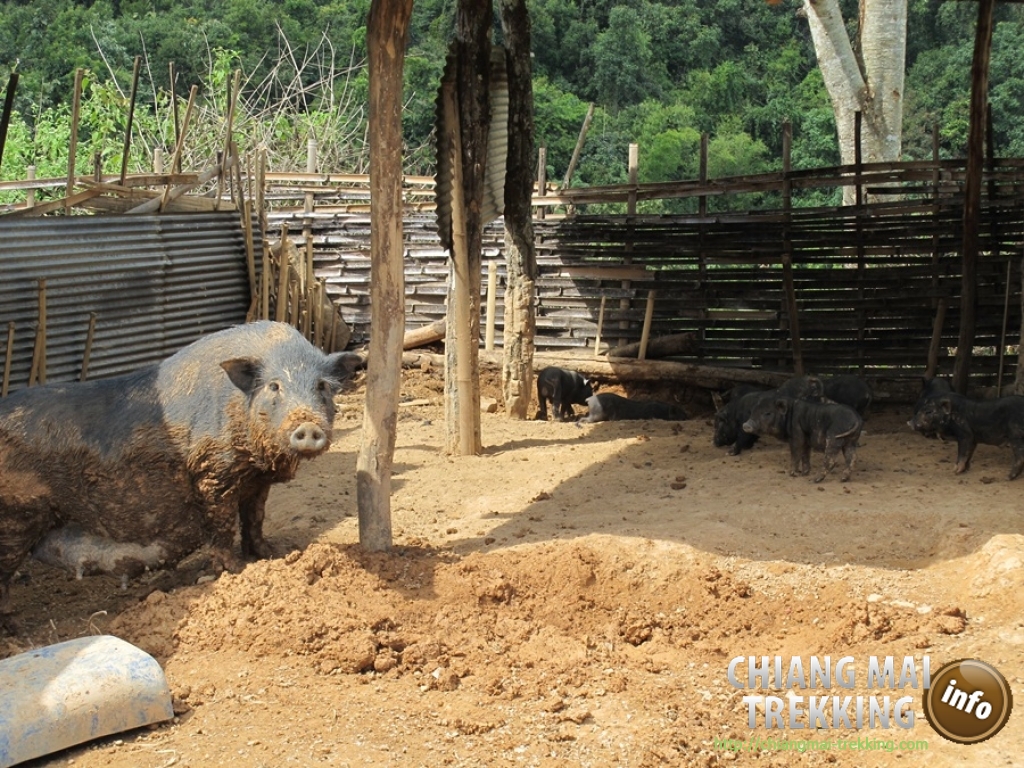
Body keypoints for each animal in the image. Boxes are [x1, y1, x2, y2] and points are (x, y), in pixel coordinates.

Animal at [0, 319, 366, 630]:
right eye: (274, 386)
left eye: (322, 386)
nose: (307, 427)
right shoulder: (213, 475)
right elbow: (222, 527)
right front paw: (233, 571)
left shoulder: (255, 482)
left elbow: (254, 518)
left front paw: (270, 554)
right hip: (16, 515)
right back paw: (13, 628)